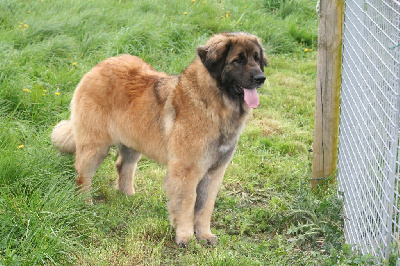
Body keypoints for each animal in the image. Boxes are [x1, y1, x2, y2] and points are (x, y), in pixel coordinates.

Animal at [51, 31, 268, 245]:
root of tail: (97, 67)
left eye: (257, 59)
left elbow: (205, 206)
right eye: (238, 60)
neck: (213, 104)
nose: (261, 78)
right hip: (95, 146)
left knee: (124, 166)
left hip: (133, 142)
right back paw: (85, 203)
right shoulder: (186, 170)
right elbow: (187, 203)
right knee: (83, 175)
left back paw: (128, 196)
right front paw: (185, 236)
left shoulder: (215, 171)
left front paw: (205, 235)